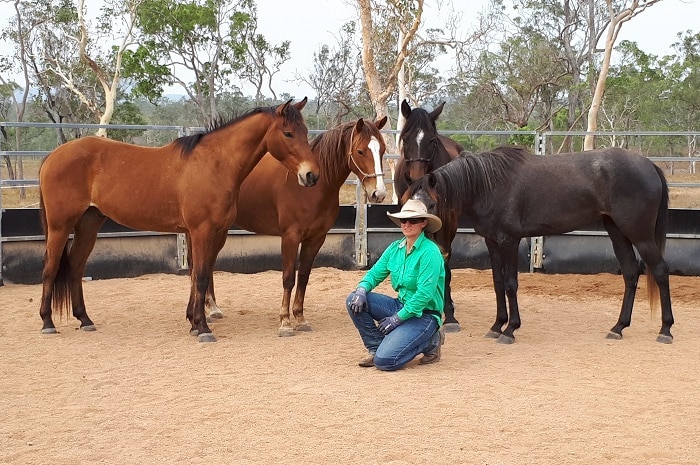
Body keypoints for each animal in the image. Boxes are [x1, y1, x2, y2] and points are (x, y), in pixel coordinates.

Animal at [38, 99, 320, 342]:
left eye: (305, 131)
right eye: (288, 133)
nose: (311, 175)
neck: (214, 164)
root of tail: (52, 156)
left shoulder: (211, 232)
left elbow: (197, 275)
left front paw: (194, 323)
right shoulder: (202, 231)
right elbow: (202, 276)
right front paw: (203, 328)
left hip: (89, 223)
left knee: (76, 267)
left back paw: (85, 320)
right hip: (60, 226)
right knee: (50, 268)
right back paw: (47, 323)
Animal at [202, 116, 392, 334]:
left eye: (382, 150)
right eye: (360, 151)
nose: (379, 193)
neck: (310, 188)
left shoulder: (316, 238)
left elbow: (303, 277)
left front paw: (300, 318)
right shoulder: (290, 237)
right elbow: (288, 278)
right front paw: (285, 322)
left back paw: (212, 308)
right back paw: (209, 310)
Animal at [394, 98, 464, 332]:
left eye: (432, 141)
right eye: (405, 138)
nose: (416, 178)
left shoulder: (448, 223)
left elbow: (444, 263)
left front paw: (449, 315)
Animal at [404, 145, 672, 344]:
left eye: (430, 204)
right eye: (409, 201)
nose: (415, 232)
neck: (489, 185)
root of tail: (649, 165)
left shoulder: (509, 241)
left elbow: (510, 284)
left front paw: (510, 329)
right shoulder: (492, 242)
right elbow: (498, 283)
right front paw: (496, 325)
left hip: (640, 234)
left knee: (660, 270)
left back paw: (665, 330)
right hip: (617, 232)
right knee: (630, 273)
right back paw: (618, 327)